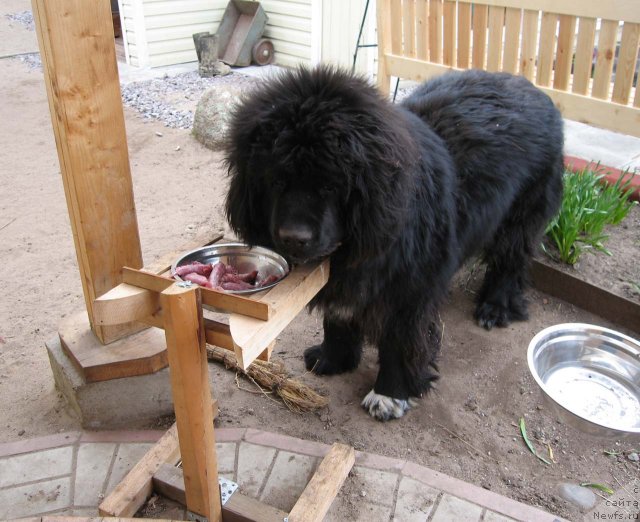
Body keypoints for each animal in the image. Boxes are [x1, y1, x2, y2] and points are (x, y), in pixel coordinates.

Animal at [222, 66, 564, 418]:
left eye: (331, 186)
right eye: (276, 181)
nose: (294, 238)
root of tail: (530, 86)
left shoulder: (410, 292)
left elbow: (401, 341)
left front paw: (389, 394)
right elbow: (340, 316)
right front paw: (333, 358)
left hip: (522, 213)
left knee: (510, 259)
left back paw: (495, 308)